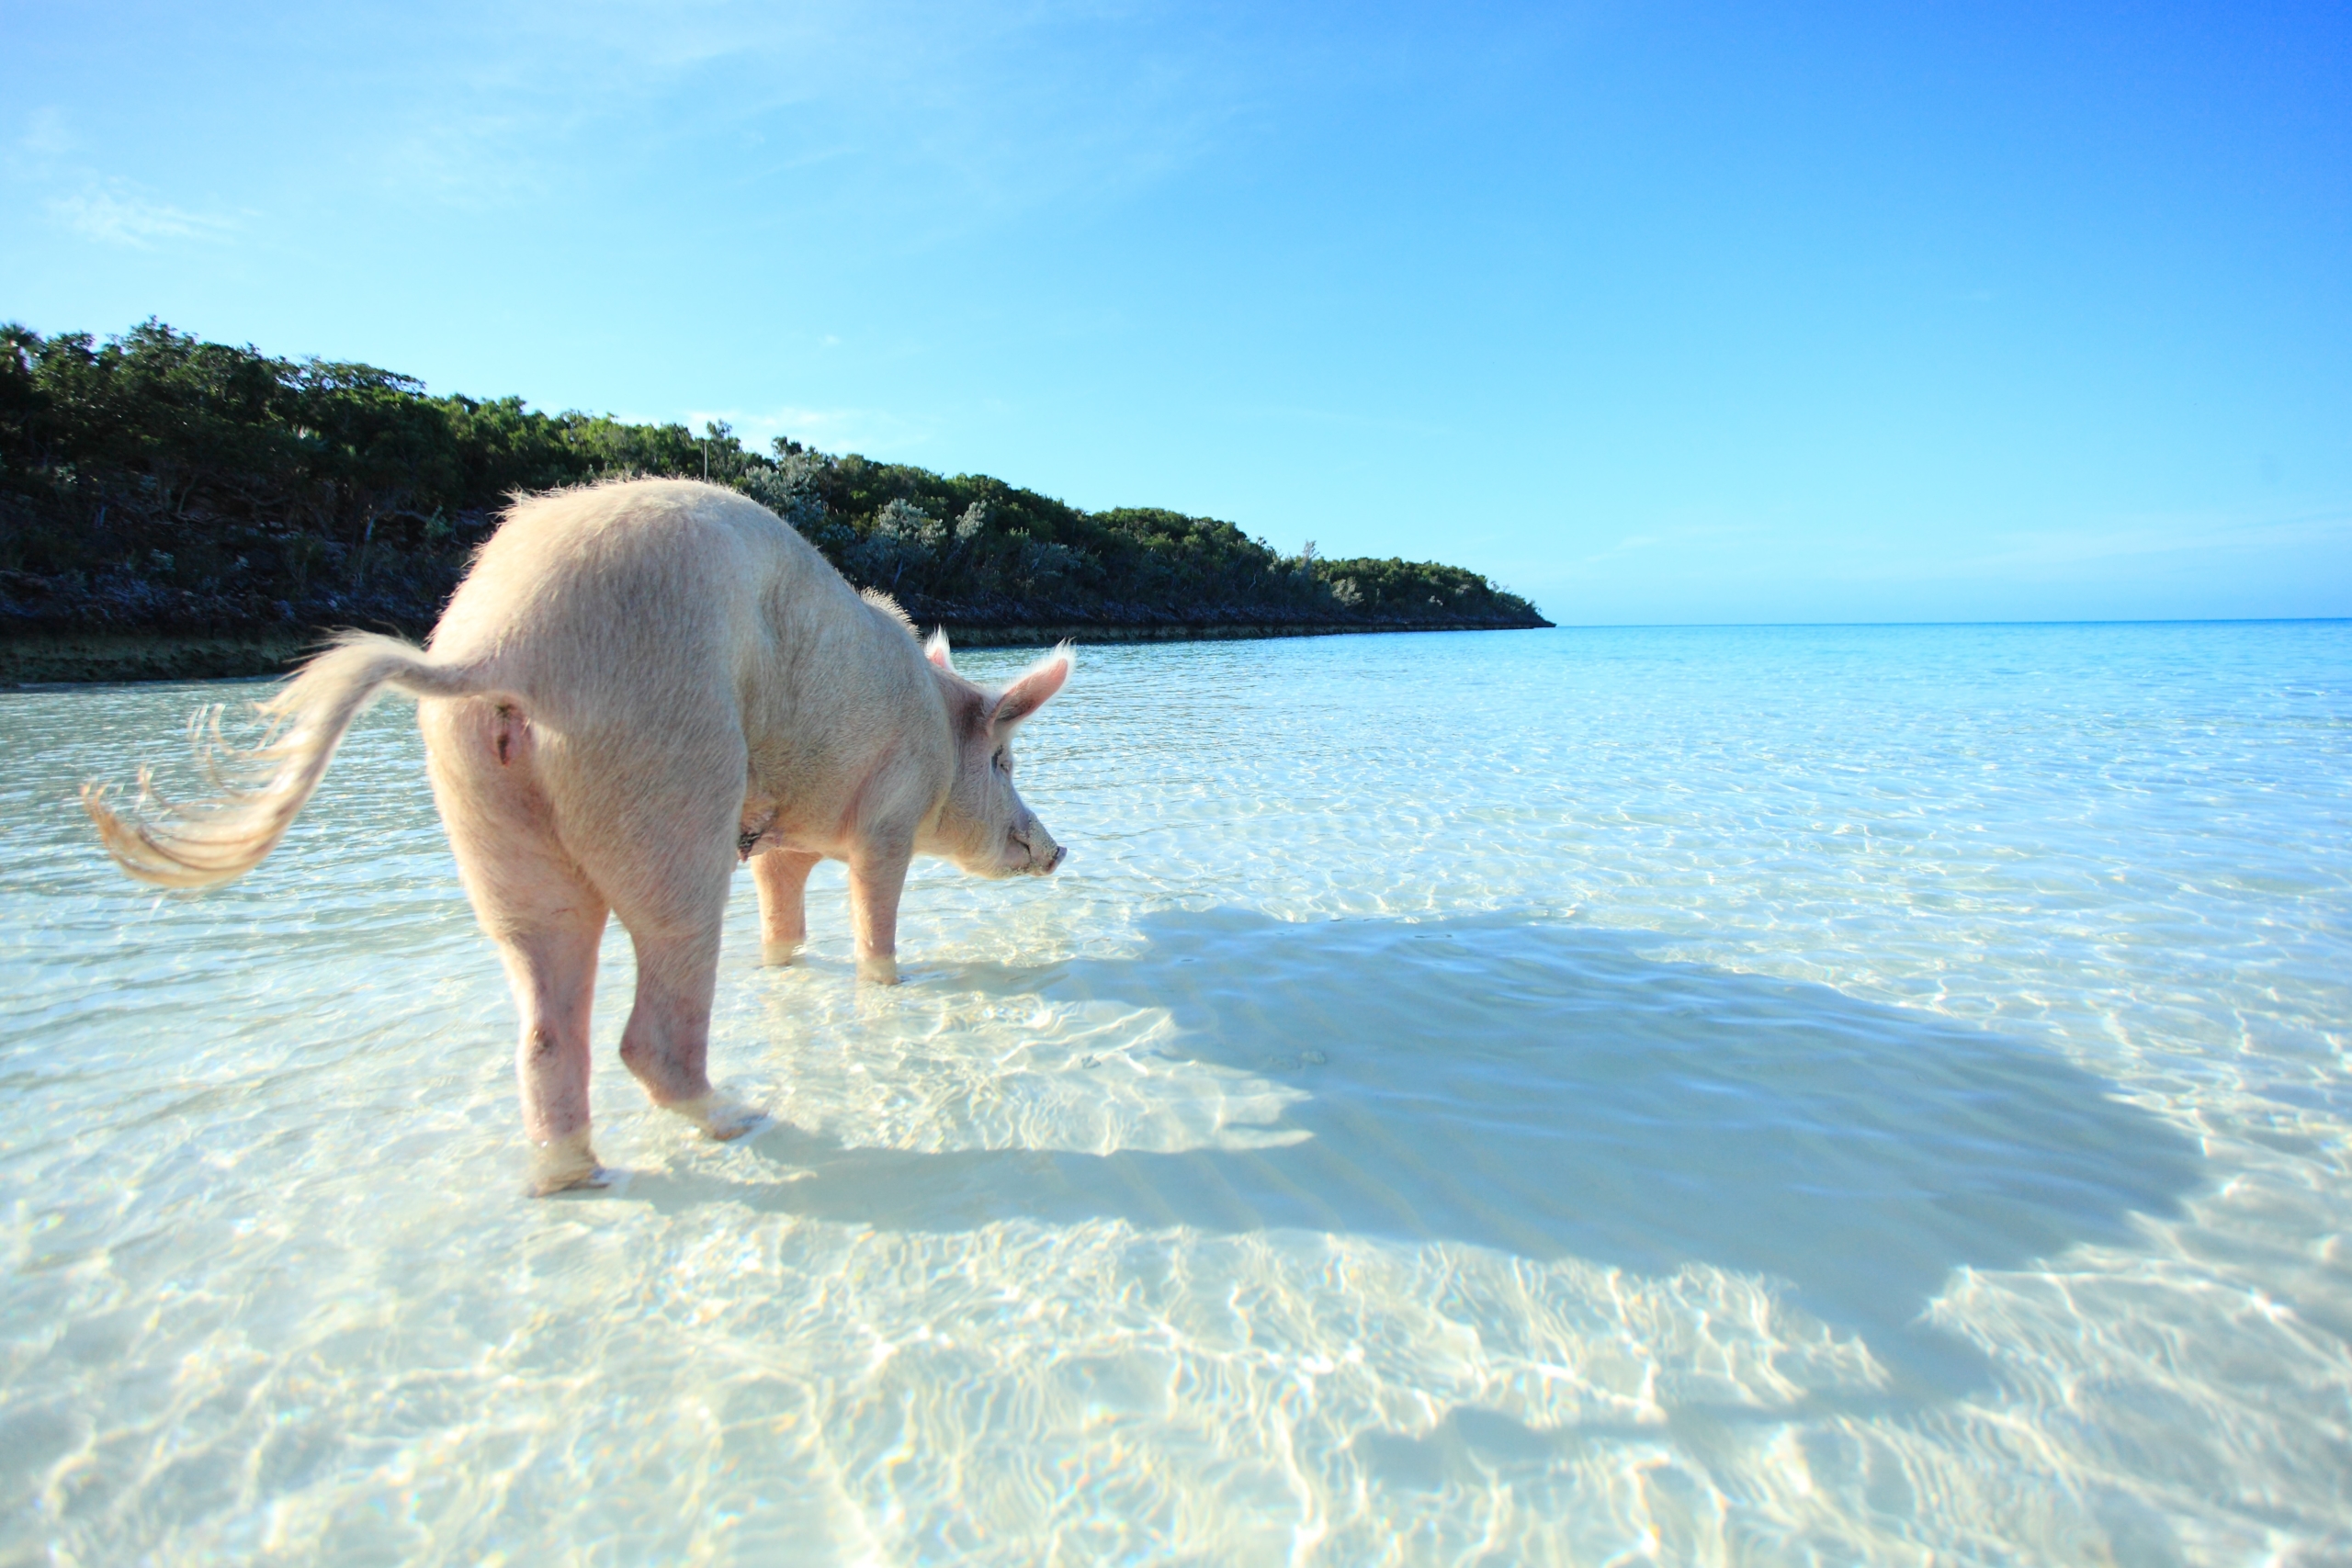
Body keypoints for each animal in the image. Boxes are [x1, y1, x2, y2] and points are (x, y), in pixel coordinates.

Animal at [83, 479, 1077, 1189]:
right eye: (1006, 762)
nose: (1060, 847)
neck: (938, 732)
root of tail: (497, 650)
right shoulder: (885, 816)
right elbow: (875, 916)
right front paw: (895, 983)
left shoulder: (788, 835)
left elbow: (783, 912)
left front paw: (786, 964)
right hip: (668, 777)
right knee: (652, 1021)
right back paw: (740, 1120)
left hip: (485, 813)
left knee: (544, 1020)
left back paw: (571, 1175)